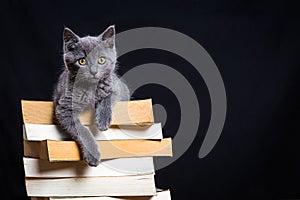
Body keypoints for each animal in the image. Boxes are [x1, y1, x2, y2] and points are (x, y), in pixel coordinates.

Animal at [53, 25, 130, 166]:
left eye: (101, 60)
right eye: (82, 61)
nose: (93, 72)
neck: (90, 87)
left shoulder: (119, 88)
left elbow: (108, 96)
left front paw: (103, 120)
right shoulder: (64, 106)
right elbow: (81, 130)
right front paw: (92, 155)